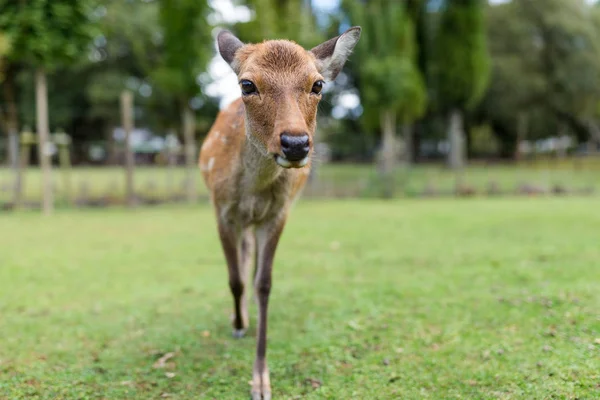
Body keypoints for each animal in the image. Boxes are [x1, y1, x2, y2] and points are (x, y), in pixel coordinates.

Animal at [199, 26, 360, 398]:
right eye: (247, 84)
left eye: (318, 84)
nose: (296, 143)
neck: (252, 191)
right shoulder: (222, 210)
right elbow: (234, 278)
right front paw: (238, 323)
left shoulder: (278, 214)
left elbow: (264, 283)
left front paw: (260, 378)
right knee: (243, 261)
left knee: (254, 262)